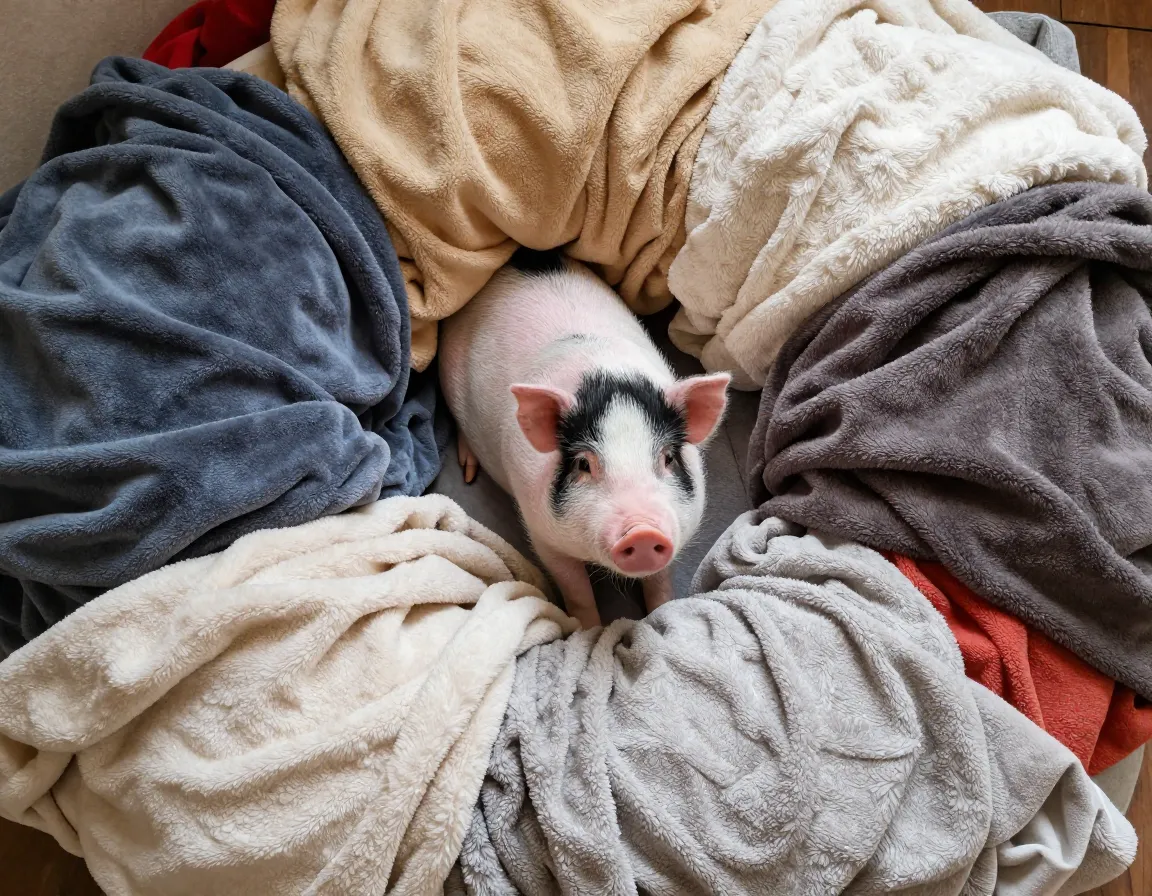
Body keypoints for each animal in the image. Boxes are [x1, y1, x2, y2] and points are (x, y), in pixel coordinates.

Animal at [439, 248, 729, 629]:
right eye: (583, 463)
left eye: (667, 457)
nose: (643, 532)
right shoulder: (541, 530)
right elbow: (574, 587)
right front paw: (588, 630)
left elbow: (660, 579)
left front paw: (660, 614)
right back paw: (469, 470)